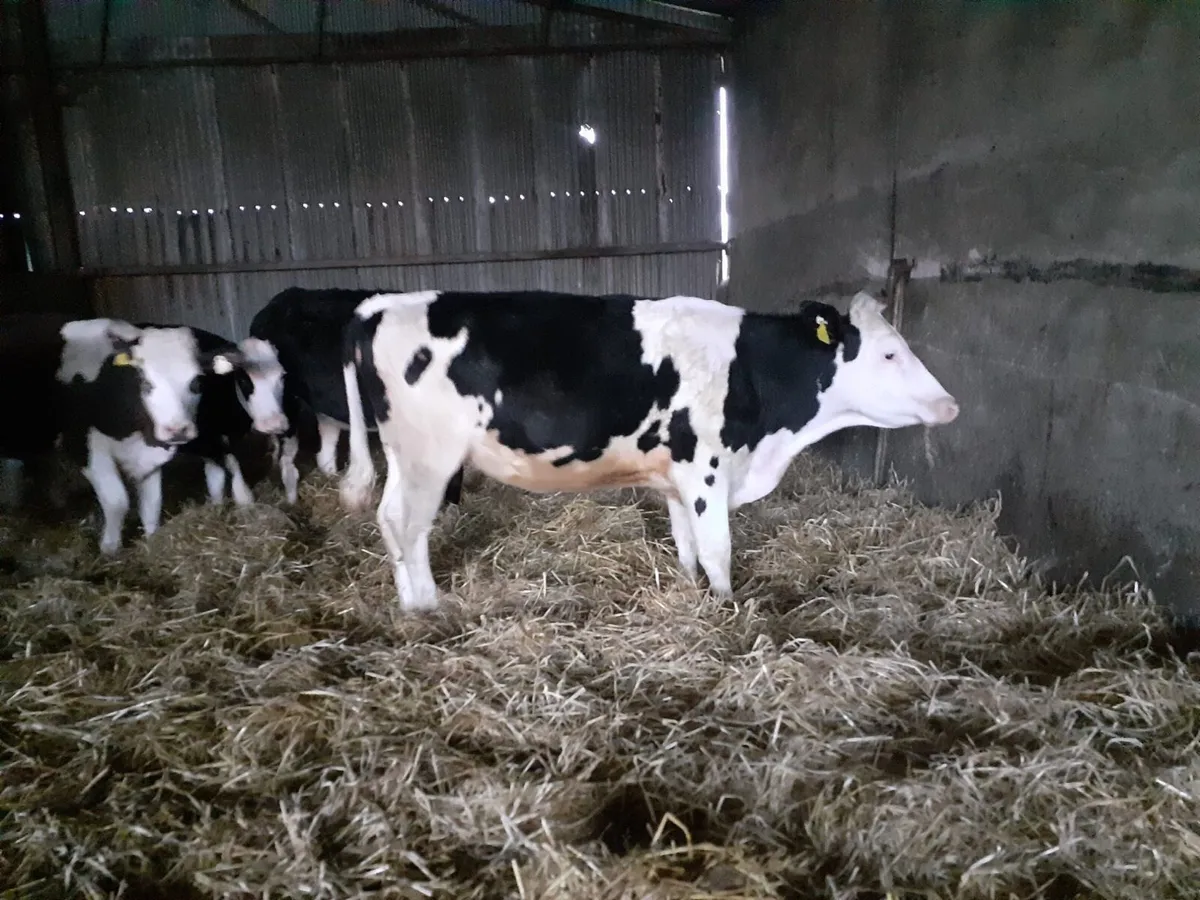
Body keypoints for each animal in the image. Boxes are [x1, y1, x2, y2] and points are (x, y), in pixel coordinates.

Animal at [135, 322, 288, 507]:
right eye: (244, 380)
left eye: (282, 376)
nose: (275, 423)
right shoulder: (209, 437)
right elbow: (226, 465)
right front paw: (243, 497)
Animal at [337, 289, 960, 612]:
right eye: (889, 354)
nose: (950, 404)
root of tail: (382, 304)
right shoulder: (707, 470)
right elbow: (718, 552)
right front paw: (727, 610)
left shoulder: (677, 478)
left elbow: (686, 547)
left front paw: (689, 593)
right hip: (429, 456)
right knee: (405, 524)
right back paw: (426, 607)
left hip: (408, 456)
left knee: (390, 519)